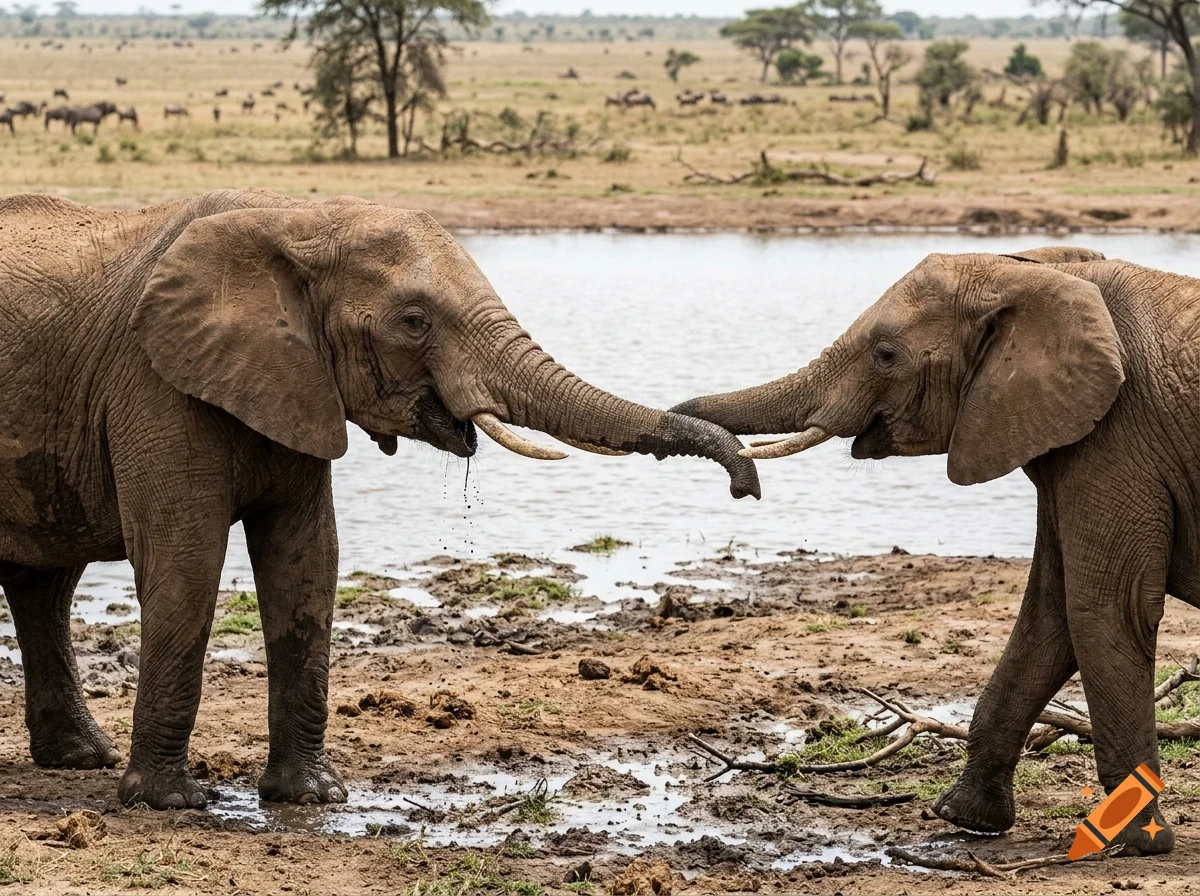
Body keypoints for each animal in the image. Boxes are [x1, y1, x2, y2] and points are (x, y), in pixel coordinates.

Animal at [0, 189, 759, 812]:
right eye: (414, 321)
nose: (743, 486)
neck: (299, 220)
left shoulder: (296, 383)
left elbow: (307, 561)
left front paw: (312, 797)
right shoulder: (155, 382)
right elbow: (186, 560)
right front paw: (171, 804)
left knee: (46, 585)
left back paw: (80, 759)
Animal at [673, 245, 1199, 855]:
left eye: (885, 355)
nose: (743, 487)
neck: (1044, 275)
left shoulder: (1118, 438)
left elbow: (1106, 608)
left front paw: (1139, 842)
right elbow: (1049, 615)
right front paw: (964, 818)